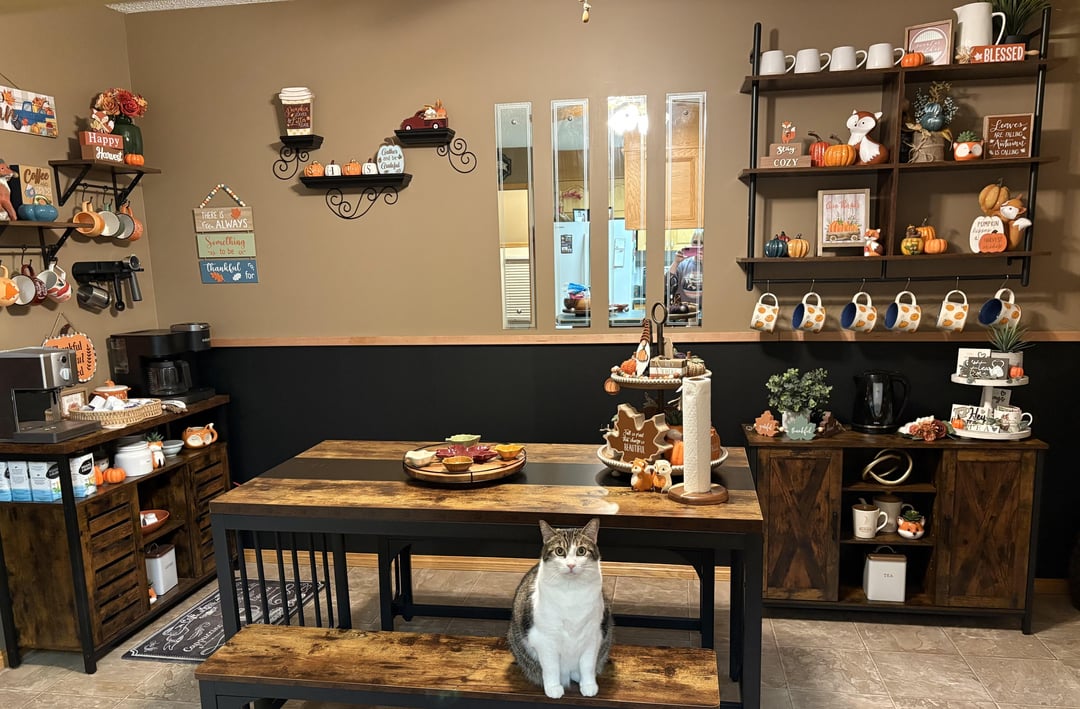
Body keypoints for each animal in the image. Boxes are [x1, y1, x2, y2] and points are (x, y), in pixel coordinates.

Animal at [508, 518, 613, 699]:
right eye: (559, 551)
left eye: (581, 551)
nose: (570, 565)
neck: (571, 593)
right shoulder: (545, 639)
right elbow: (551, 667)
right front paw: (553, 688)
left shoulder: (593, 635)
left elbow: (588, 664)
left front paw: (589, 685)